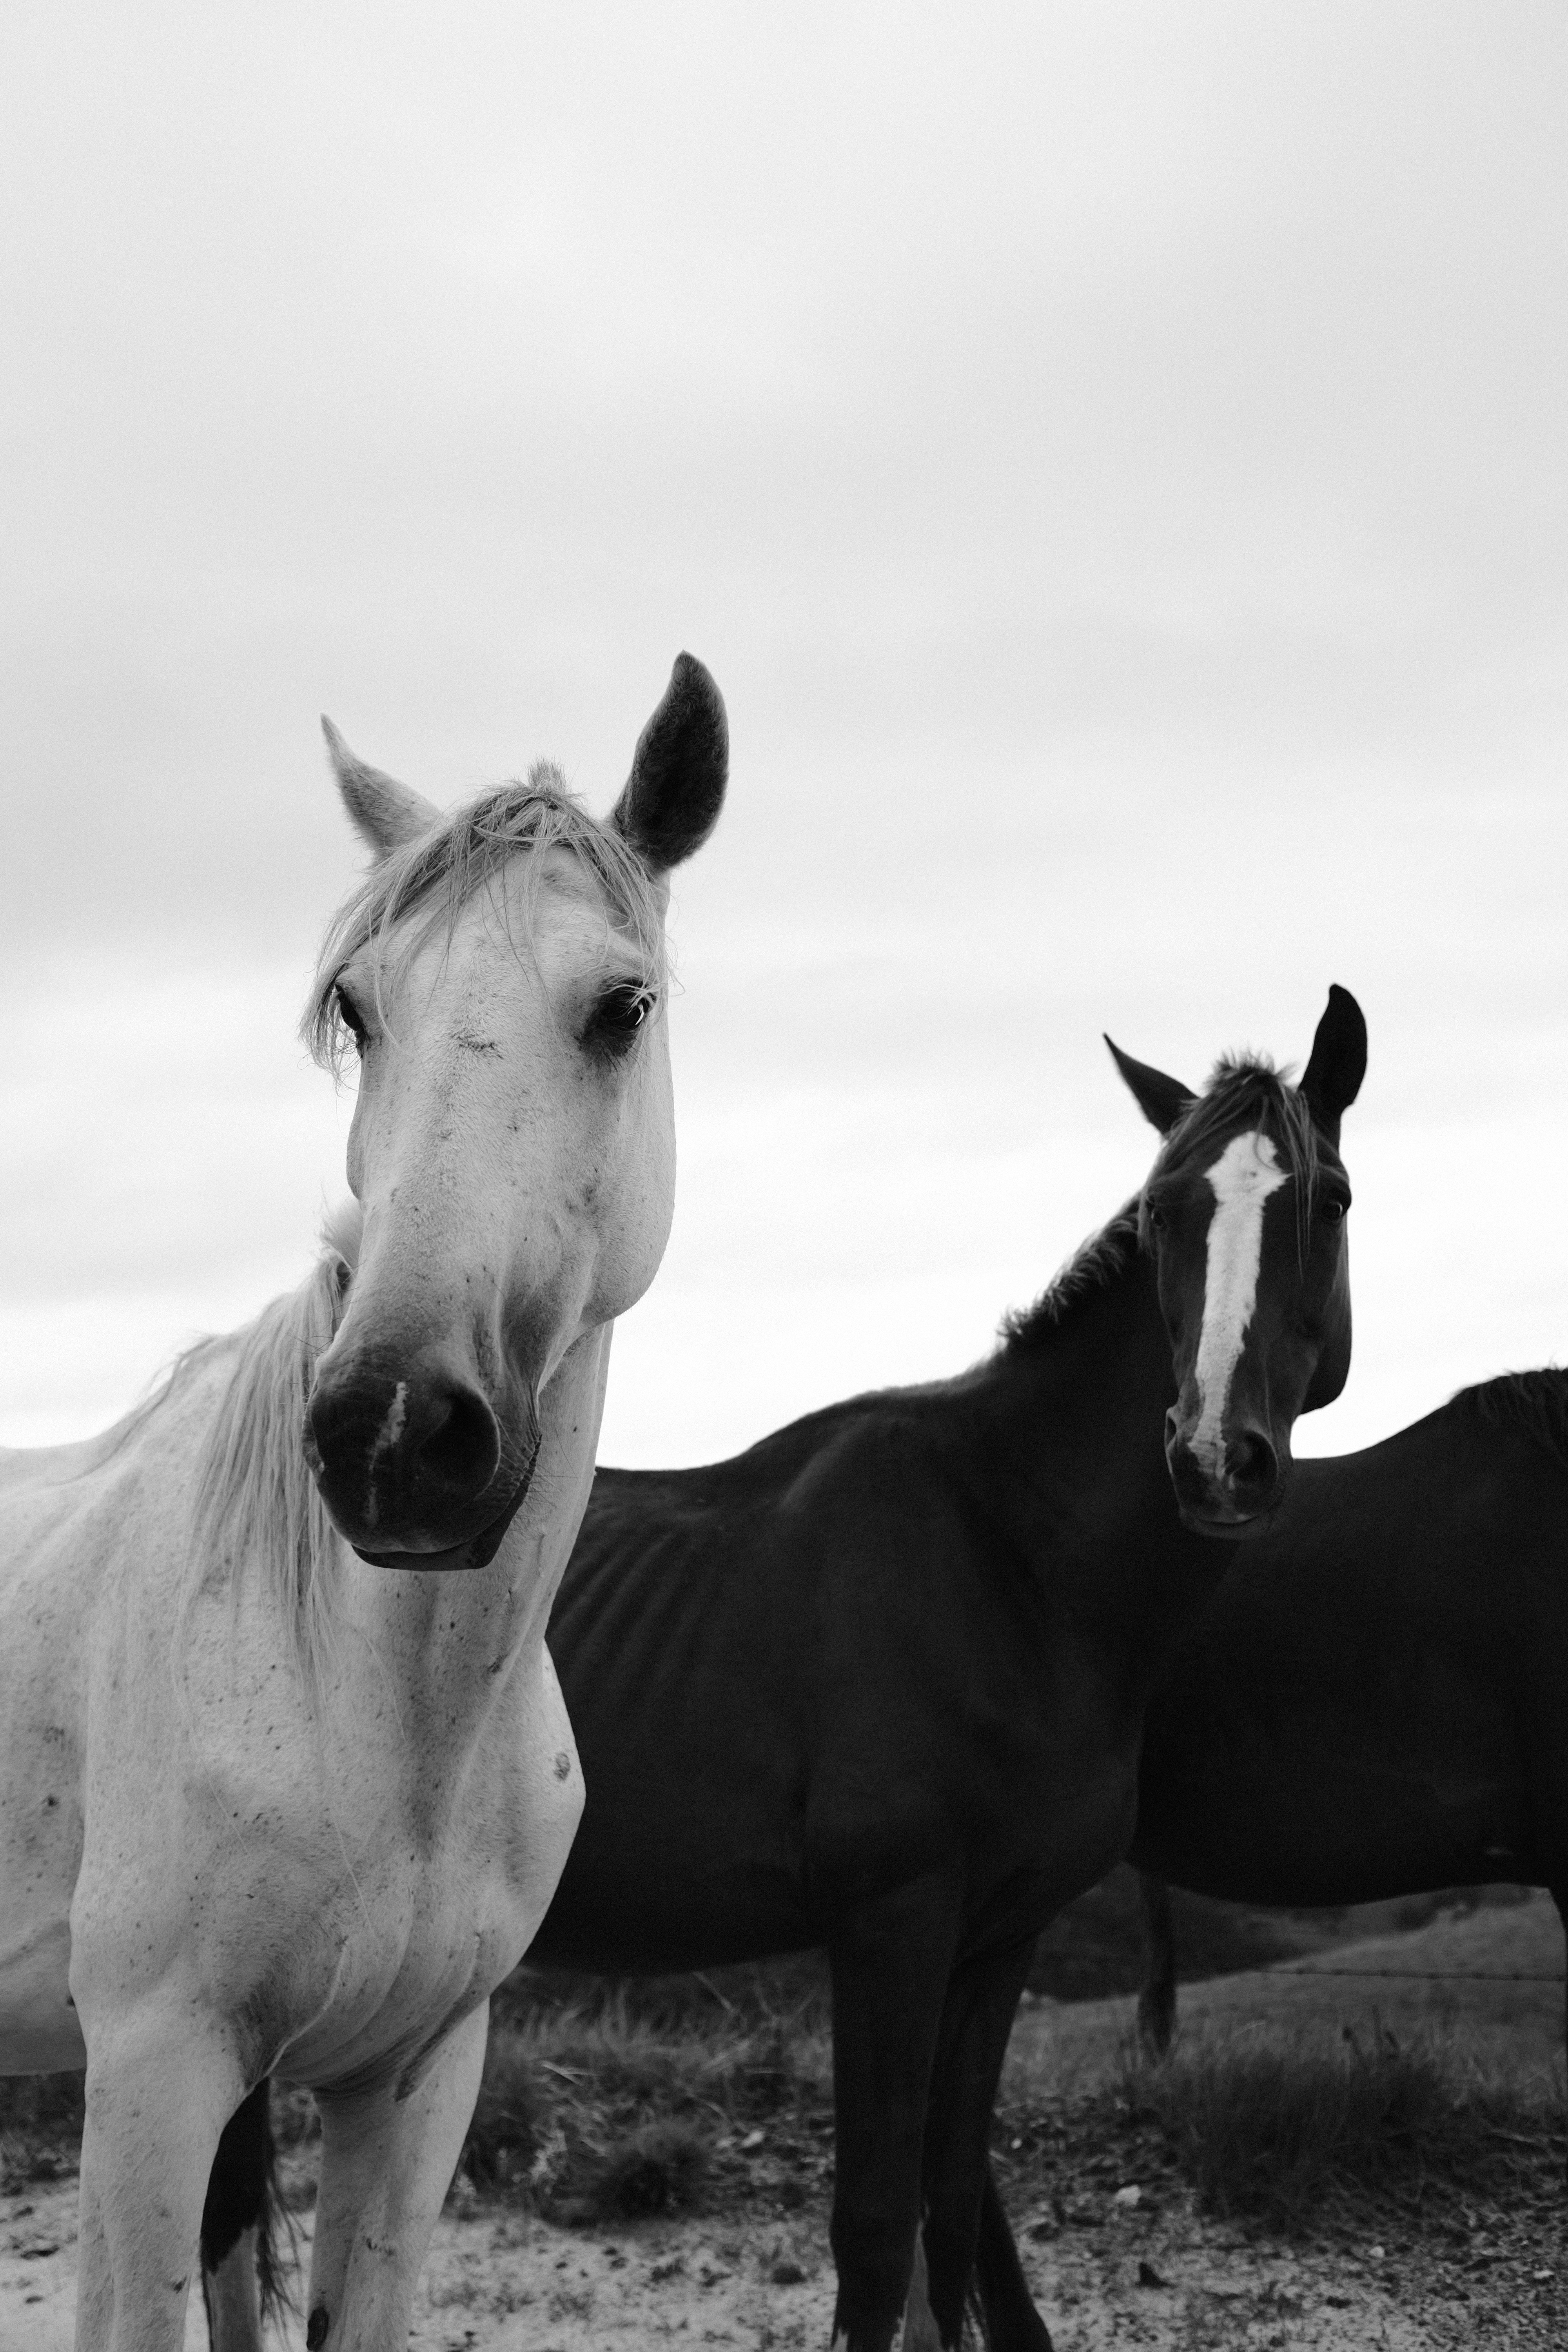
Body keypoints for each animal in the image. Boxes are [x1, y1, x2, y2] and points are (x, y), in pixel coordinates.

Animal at [0, 651, 728, 2352]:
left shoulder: (412, 2080)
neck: (373, 1702)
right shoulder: (151, 2084)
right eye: (357, 1005)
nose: (397, 1433)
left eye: (623, 1007)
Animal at [206, 986, 1366, 2352]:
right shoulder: (887, 1925)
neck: (1008, 1556)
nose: (1214, 1459)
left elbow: (951, 2204)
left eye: (1328, 1198)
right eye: (1163, 1215)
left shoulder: (998, 1940)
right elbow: (874, 2228)